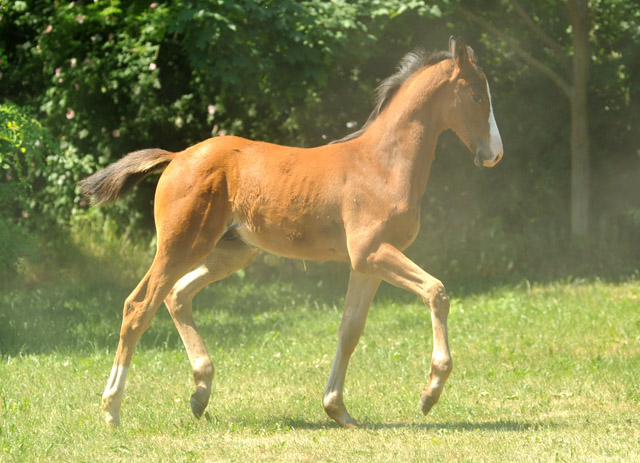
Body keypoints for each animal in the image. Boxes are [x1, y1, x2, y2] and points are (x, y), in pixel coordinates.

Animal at [79, 35, 500, 428]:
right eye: (477, 95)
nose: (494, 154)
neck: (382, 164)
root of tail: (176, 156)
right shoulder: (372, 251)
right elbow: (437, 291)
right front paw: (430, 392)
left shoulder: (366, 263)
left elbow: (350, 329)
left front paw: (337, 409)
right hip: (179, 244)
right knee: (139, 306)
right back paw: (112, 410)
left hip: (232, 250)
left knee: (177, 295)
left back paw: (200, 392)